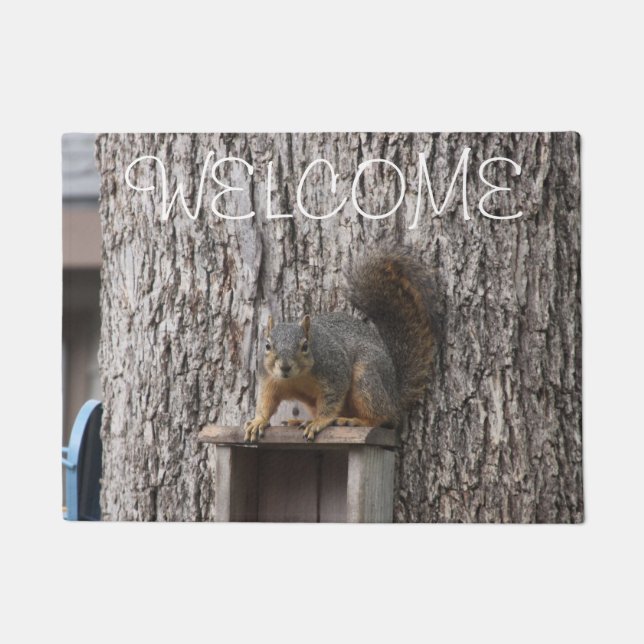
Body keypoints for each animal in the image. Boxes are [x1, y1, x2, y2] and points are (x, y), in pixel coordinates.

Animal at [243, 247, 438, 442]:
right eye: (268, 346)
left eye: (305, 346)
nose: (285, 367)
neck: (296, 378)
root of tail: (395, 395)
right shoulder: (269, 379)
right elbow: (266, 401)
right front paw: (258, 421)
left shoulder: (335, 371)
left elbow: (332, 399)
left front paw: (319, 422)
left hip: (365, 376)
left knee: (384, 416)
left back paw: (354, 421)